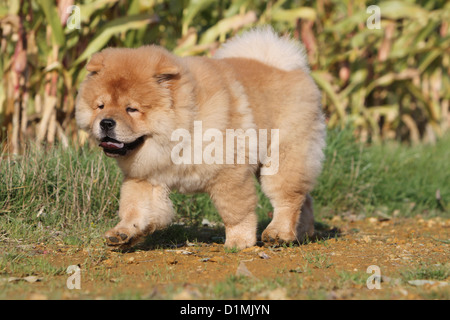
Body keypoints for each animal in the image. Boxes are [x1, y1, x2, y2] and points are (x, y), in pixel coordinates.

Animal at [75, 27, 326, 250]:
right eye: (100, 106)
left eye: (132, 109)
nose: (106, 122)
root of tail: (289, 67)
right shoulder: (144, 176)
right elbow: (135, 208)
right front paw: (123, 233)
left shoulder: (229, 173)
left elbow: (236, 211)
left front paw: (239, 241)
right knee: (305, 199)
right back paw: (300, 233)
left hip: (282, 156)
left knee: (287, 197)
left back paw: (278, 233)